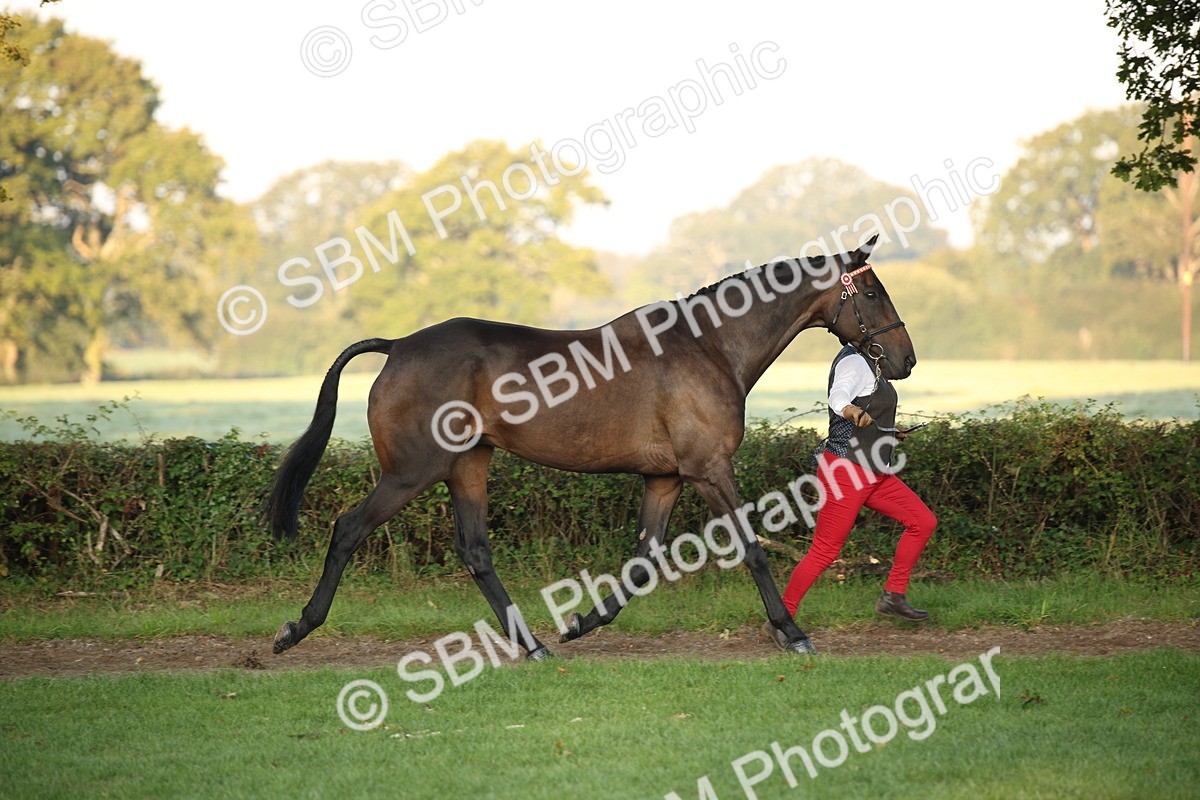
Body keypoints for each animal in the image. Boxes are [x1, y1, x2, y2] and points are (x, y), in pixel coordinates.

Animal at [267, 233, 914, 658]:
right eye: (873, 294)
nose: (905, 360)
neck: (709, 346)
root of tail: (398, 345)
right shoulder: (709, 469)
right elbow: (751, 548)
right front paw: (792, 632)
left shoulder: (666, 478)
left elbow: (643, 562)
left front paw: (580, 622)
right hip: (412, 471)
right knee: (349, 529)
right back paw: (296, 629)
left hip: (468, 464)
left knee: (476, 552)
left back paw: (533, 645)